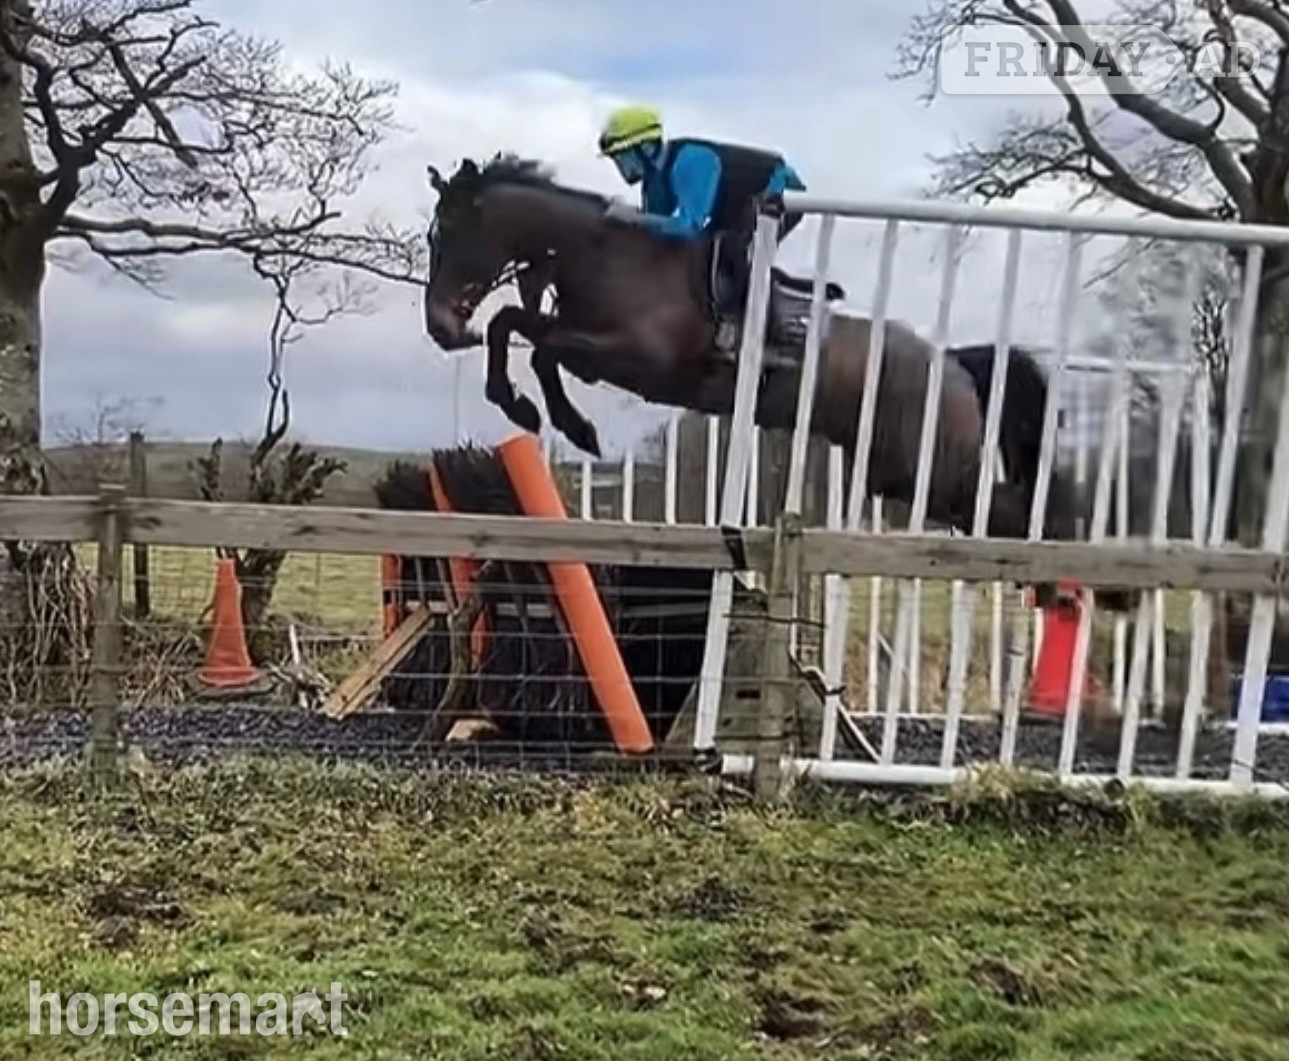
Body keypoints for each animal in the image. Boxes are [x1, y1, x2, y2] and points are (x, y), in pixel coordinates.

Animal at [421, 153, 1089, 554]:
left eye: (448, 233)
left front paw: (566, 422)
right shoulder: (585, 340)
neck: (601, 253)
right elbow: (514, 327)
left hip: (935, 467)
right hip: (899, 470)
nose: (440, 328)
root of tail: (953, 363)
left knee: (1012, 507)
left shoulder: (638, 359)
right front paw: (526, 407)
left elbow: (537, 343)